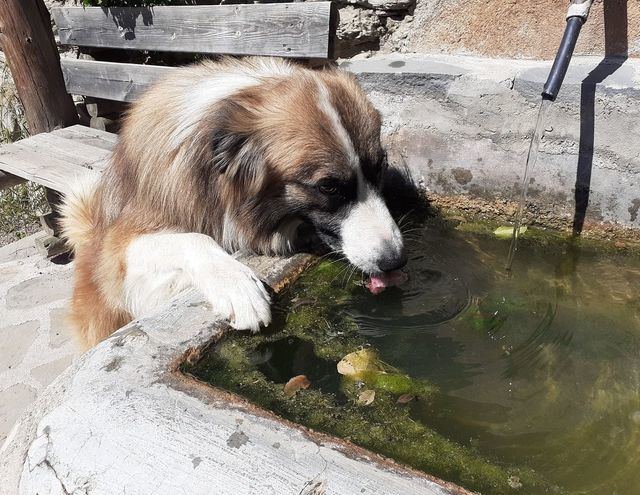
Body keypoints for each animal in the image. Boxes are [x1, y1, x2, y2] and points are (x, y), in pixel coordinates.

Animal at [62, 57, 408, 348]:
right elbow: (193, 239)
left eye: (379, 168)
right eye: (328, 187)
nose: (396, 261)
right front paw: (237, 286)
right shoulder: (119, 249)